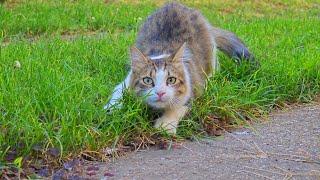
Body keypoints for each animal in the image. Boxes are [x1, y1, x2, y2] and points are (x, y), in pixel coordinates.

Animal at [104, 1, 255, 134]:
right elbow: (117, 93)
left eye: (171, 80)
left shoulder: (192, 90)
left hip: (210, 55)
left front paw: (165, 125)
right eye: (147, 80)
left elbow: (177, 107)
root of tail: (176, 4)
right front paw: (112, 109)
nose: (160, 93)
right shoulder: (125, 82)